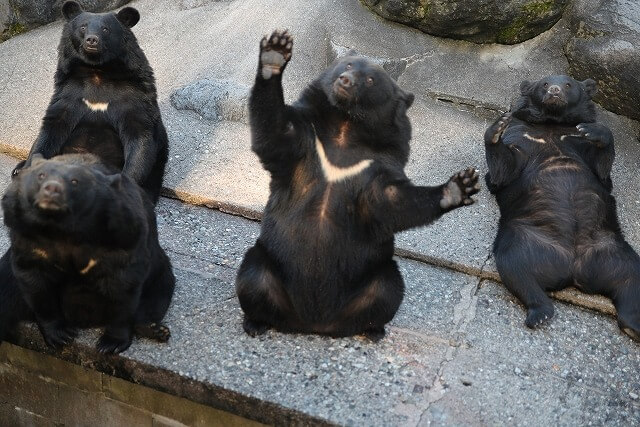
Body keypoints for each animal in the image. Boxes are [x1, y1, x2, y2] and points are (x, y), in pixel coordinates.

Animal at [0, 153, 175, 354]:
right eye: (41, 175)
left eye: (75, 181)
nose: (52, 189)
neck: (63, 229)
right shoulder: (28, 238)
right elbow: (36, 282)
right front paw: (59, 335)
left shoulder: (122, 234)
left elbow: (124, 285)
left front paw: (111, 344)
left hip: (159, 270)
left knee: (158, 292)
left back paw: (154, 328)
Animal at [15, 0, 168, 204]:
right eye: (83, 27)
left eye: (105, 29)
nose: (91, 40)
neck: (97, 71)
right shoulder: (67, 94)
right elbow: (50, 131)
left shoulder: (135, 97)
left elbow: (139, 138)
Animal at [235, 30, 480, 339]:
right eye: (348, 65)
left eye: (371, 80)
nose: (345, 80)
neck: (346, 125)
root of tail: (314, 323)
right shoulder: (308, 137)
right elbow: (276, 133)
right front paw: (275, 52)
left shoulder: (379, 161)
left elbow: (391, 200)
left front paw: (459, 186)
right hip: (269, 260)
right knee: (253, 277)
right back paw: (255, 322)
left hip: (374, 274)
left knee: (387, 289)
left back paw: (372, 329)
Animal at [484, 74, 640, 342]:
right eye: (544, 84)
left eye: (568, 85)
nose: (555, 91)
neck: (552, 123)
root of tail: (574, 268)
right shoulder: (521, 137)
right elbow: (504, 170)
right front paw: (497, 127)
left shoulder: (579, 145)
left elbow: (602, 168)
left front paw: (593, 130)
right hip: (526, 238)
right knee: (515, 266)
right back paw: (540, 312)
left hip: (614, 249)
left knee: (632, 279)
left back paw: (634, 326)